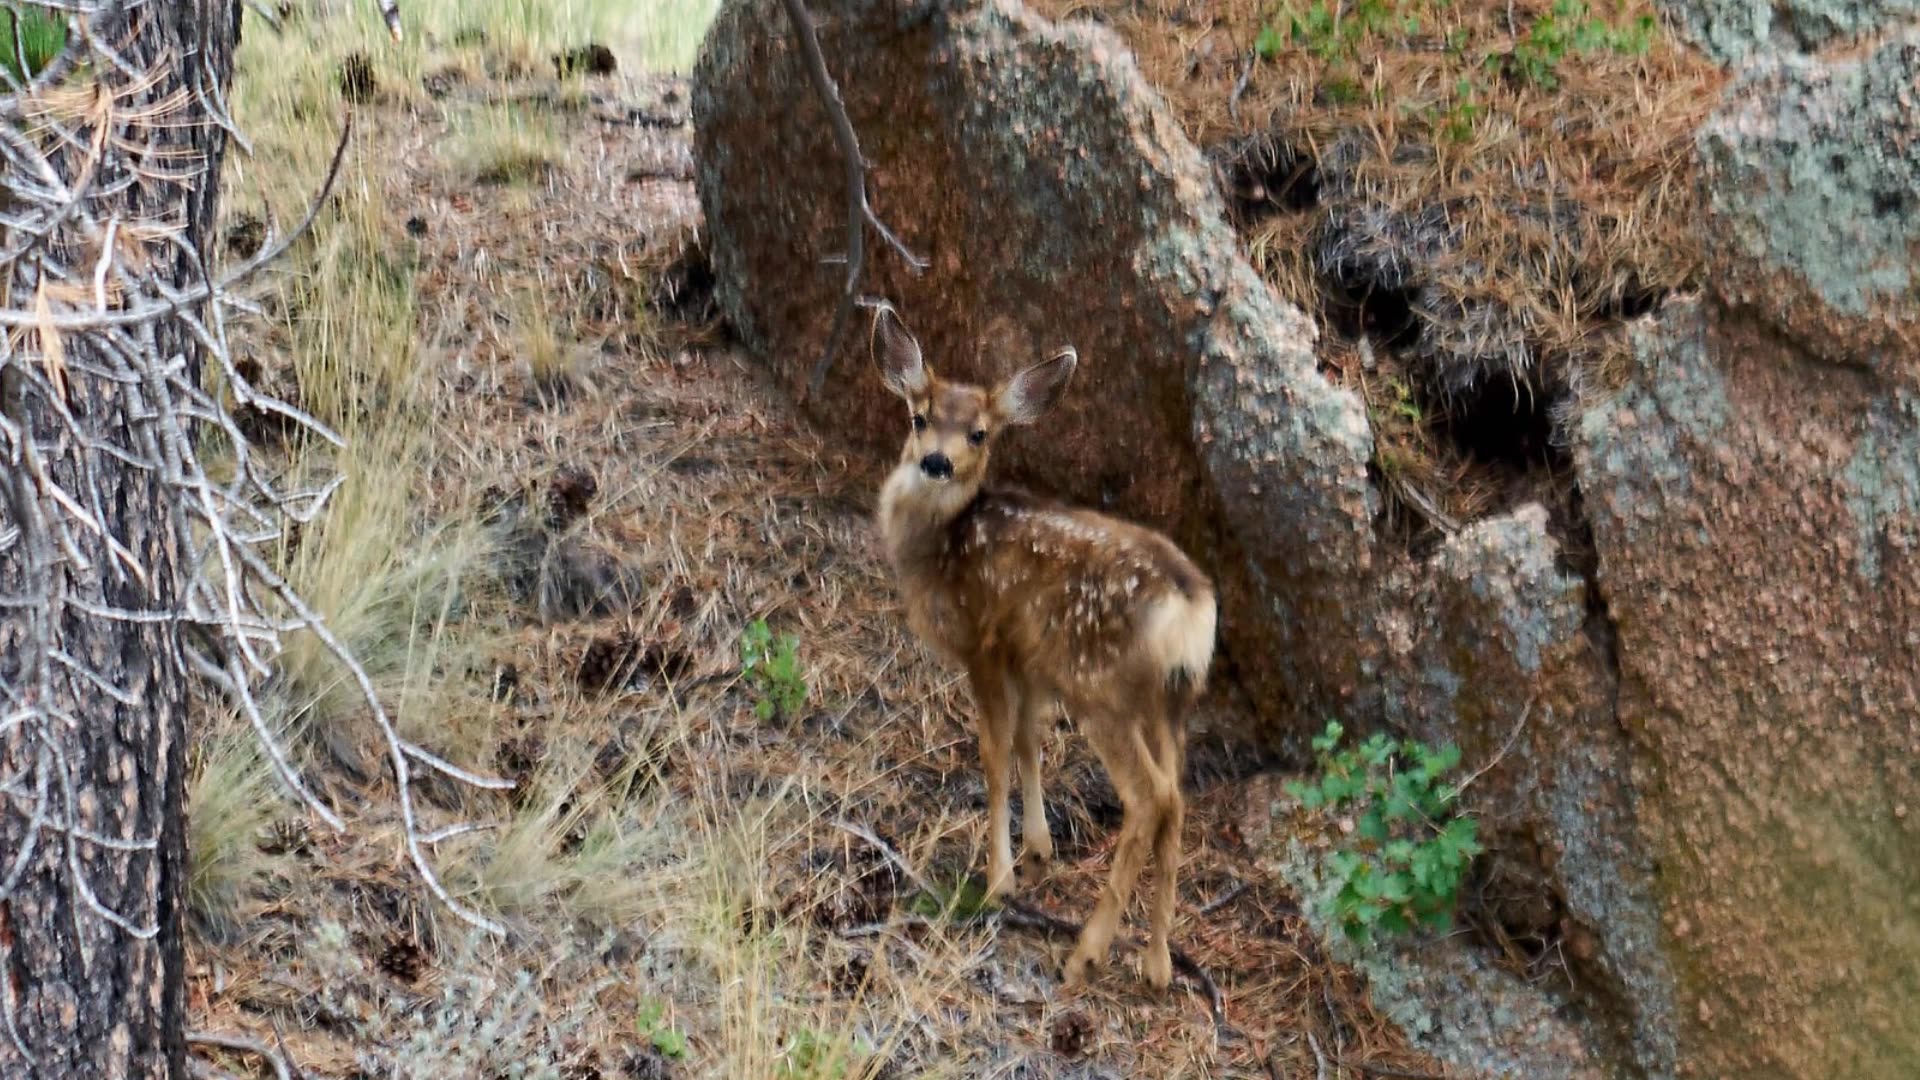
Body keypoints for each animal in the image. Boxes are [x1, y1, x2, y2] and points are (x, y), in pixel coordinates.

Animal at [866, 301, 1217, 991]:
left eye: (979, 433)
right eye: (920, 417)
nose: (936, 462)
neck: (940, 549)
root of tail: (1192, 608)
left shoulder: (985, 639)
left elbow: (995, 750)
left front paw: (1000, 875)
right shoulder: (1029, 659)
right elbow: (1031, 740)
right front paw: (1037, 848)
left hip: (1101, 688)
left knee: (1150, 798)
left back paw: (1087, 953)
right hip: (1167, 703)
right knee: (1178, 798)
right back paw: (1158, 961)